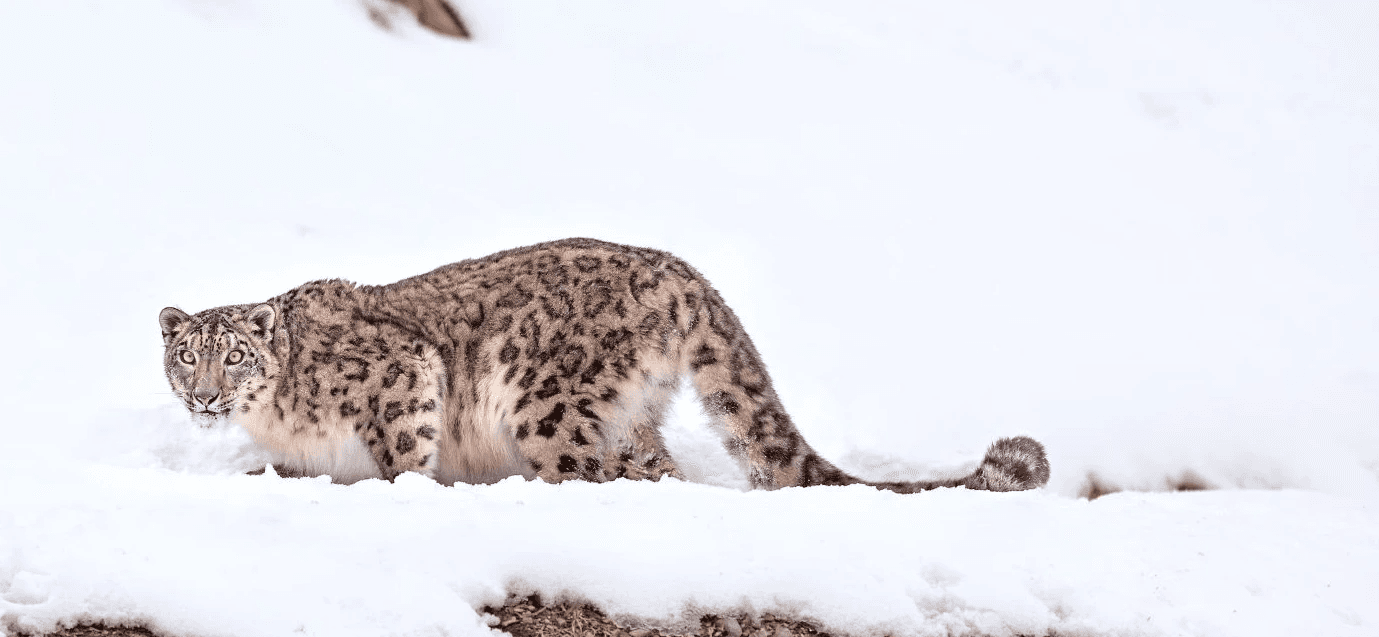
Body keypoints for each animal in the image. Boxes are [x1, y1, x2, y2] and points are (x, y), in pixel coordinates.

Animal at [158, 238, 1050, 492]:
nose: (202, 398)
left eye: (234, 355)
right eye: (185, 358)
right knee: (656, 469)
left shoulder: (401, 379)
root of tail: (680, 272)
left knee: (586, 471)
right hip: (629, 414)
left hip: (545, 403)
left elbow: (403, 455)